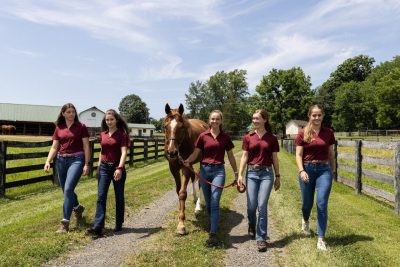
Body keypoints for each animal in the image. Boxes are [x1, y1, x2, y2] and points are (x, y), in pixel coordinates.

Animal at [163, 103, 208, 234]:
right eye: (165, 126)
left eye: (181, 127)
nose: (172, 152)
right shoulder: (173, 168)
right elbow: (178, 191)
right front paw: (180, 212)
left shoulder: (185, 167)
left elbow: (182, 193)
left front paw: (181, 225)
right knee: (194, 178)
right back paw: (194, 198)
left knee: (201, 181)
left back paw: (198, 206)